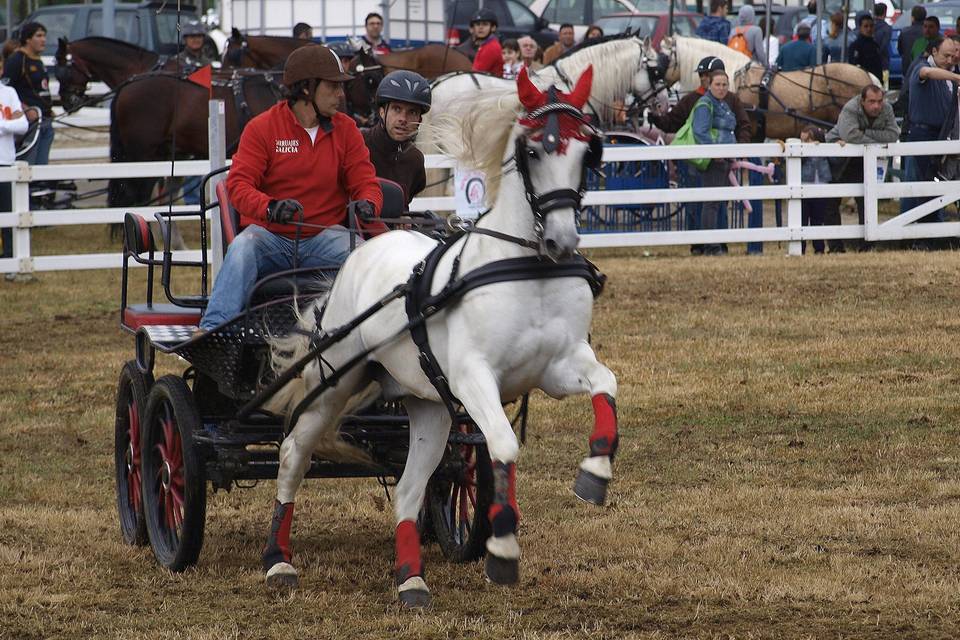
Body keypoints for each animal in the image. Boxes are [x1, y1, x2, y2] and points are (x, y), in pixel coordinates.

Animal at [260, 67, 624, 608]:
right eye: (533, 151)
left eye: (588, 152)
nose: (562, 242)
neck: (527, 269)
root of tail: (367, 245)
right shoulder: (474, 378)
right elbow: (503, 445)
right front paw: (502, 548)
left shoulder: (559, 366)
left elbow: (607, 385)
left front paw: (594, 474)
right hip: (335, 384)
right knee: (293, 455)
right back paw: (278, 559)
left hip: (428, 405)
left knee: (410, 489)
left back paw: (411, 578)